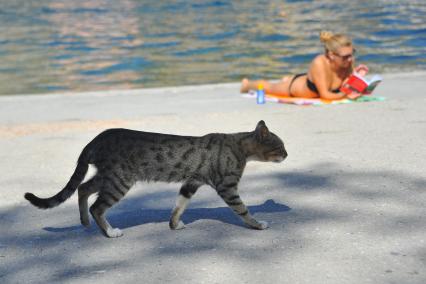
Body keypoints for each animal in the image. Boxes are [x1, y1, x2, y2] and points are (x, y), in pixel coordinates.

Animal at [25, 121, 288, 239]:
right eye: (280, 146)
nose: (287, 154)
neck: (239, 146)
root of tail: (95, 139)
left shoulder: (191, 182)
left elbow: (179, 205)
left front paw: (174, 225)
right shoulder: (227, 186)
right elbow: (243, 209)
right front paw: (257, 224)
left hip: (108, 176)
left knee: (82, 188)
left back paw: (84, 222)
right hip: (119, 180)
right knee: (96, 205)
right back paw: (110, 232)